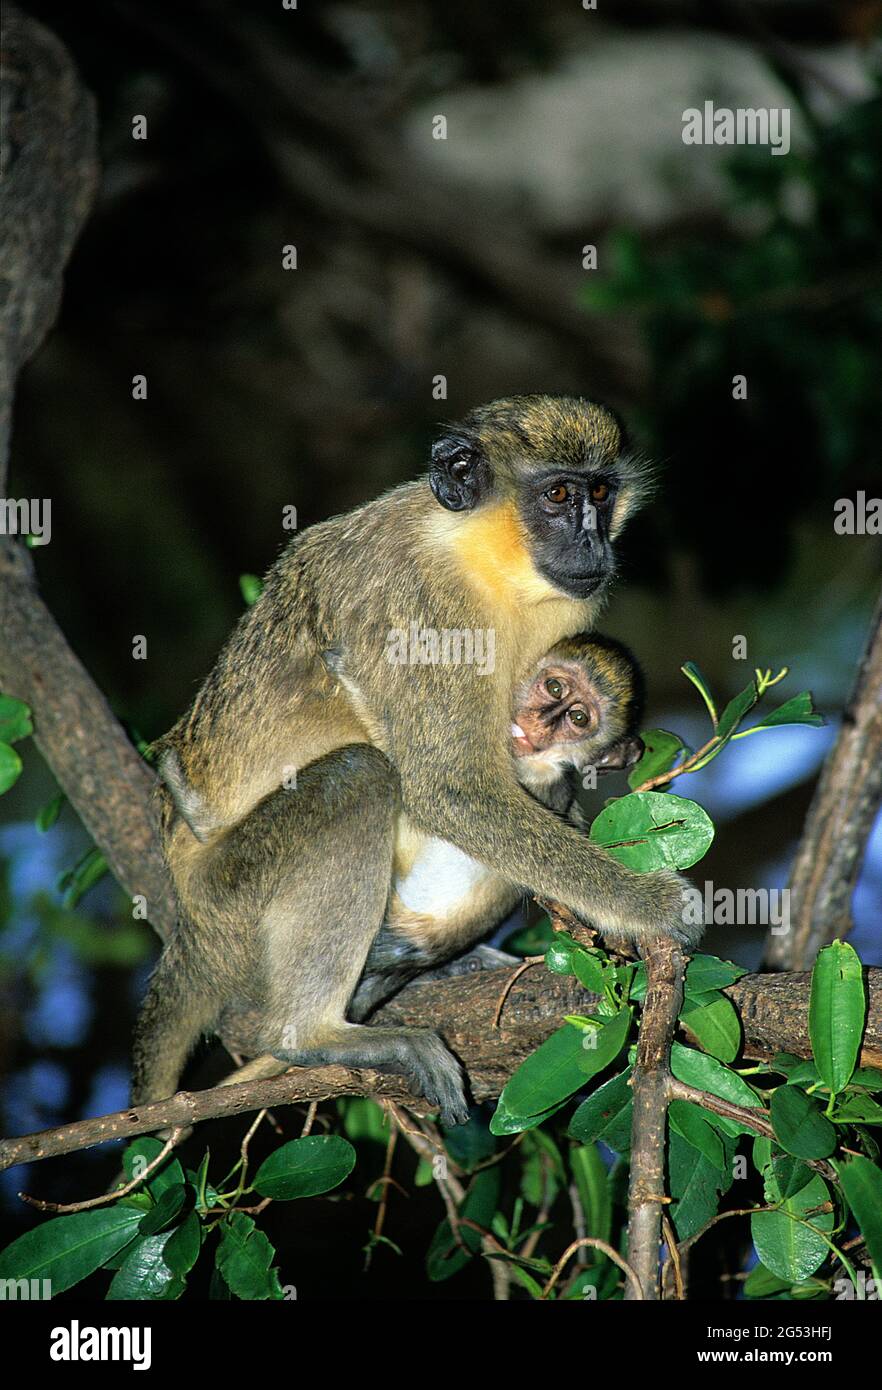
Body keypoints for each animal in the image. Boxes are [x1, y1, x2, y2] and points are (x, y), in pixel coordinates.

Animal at [133, 395, 699, 1127]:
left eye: (600, 494)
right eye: (558, 495)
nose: (592, 541)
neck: (475, 553)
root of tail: (188, 928)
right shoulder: (427, 609)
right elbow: (447, 787)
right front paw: (647, 905)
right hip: (229, 893)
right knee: (362, 777)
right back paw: (310, 1034)